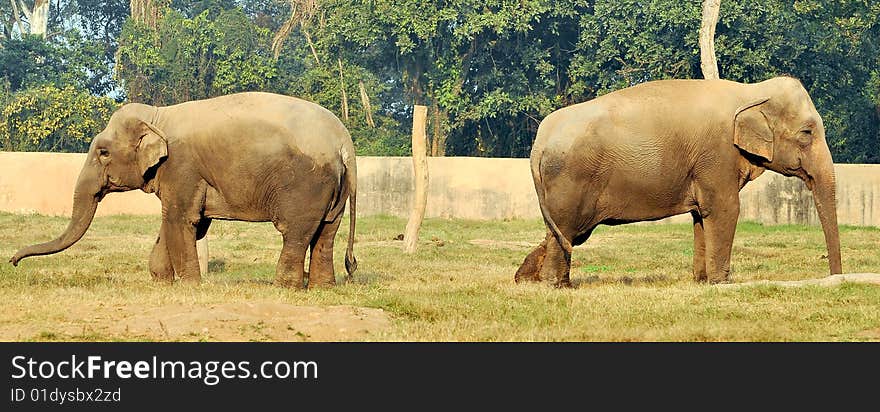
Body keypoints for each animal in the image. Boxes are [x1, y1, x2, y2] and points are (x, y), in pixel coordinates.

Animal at [8, 91, 356, 288]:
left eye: (103, 152)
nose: (12, 262)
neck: (158, 115)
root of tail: (344, 141)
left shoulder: (181, 166)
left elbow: (181, 219)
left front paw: (190, 286)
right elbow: (182, 222)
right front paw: (161, 281)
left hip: (307, 184)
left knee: (295, 233)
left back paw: (284, 287)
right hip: (334, 191)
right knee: (326, 233)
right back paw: (323, 288)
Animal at [520, 76, 844, 286]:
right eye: (807, 132)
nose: (835, 276)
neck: (750, 92)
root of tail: (540, 139)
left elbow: (701, 215)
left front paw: (701, 281)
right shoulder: (717, 156)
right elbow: (725, 210)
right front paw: (720, 284)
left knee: (561, 231)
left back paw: (525, 278)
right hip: (571, 178)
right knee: (567, 229)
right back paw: (554, 285)